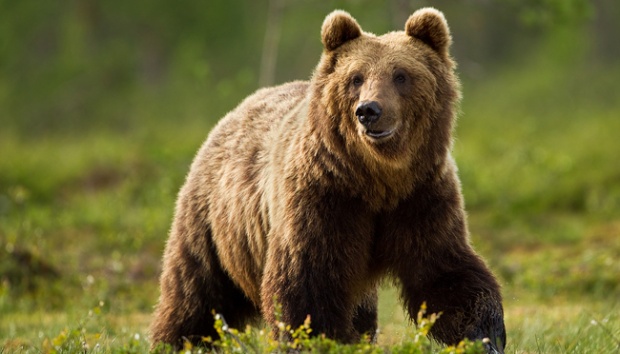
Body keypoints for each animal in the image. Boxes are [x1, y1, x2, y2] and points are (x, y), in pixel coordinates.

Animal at [149, 6, 504, 352]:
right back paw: (177, 340)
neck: (378, 178)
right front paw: (317, 338)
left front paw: (485, 336)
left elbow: (444, 272)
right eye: (356, 78)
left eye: (401, 75)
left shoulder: (421, 197)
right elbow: (306, 280)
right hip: (214, 222)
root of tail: (236, 110)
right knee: (196, 288)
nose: (369, 110)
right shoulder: (324, 197)